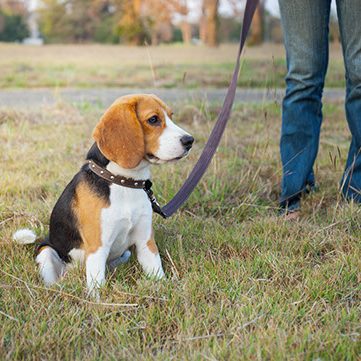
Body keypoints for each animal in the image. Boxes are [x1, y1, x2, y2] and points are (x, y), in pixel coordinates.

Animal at [13, 93, 194, 296]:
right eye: (153, 119)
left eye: (171, 116)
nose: (190, 140)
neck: (123, 181)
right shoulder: (97, 247)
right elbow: (96, 286)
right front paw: (97, 301)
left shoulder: (145, 242)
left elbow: (156, 271)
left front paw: (162, 290)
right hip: (47, 252)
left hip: (126, 253)